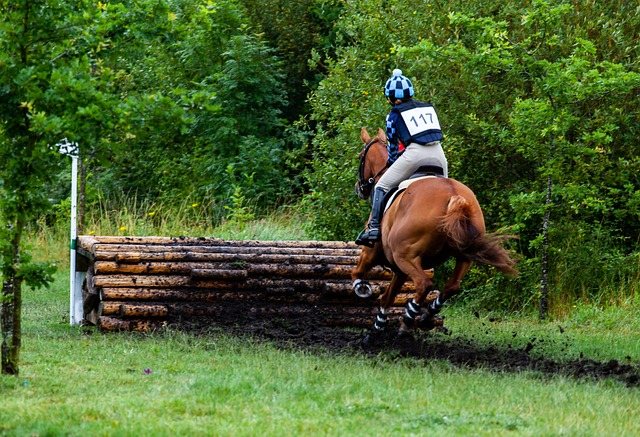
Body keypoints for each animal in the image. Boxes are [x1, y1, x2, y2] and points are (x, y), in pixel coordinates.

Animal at [352, 127, 516, 338]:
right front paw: (377, 328)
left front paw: (362, 289)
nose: (359, 188)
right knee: (452, 286)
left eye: (360, 156)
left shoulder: (371, 253)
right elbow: (387, 297)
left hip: (405, 256)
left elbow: (357, 274)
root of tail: (453, 196)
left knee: (424, 284)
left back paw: (408, 321)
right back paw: (426, 316)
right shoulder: (399, 270)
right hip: (463, 255)